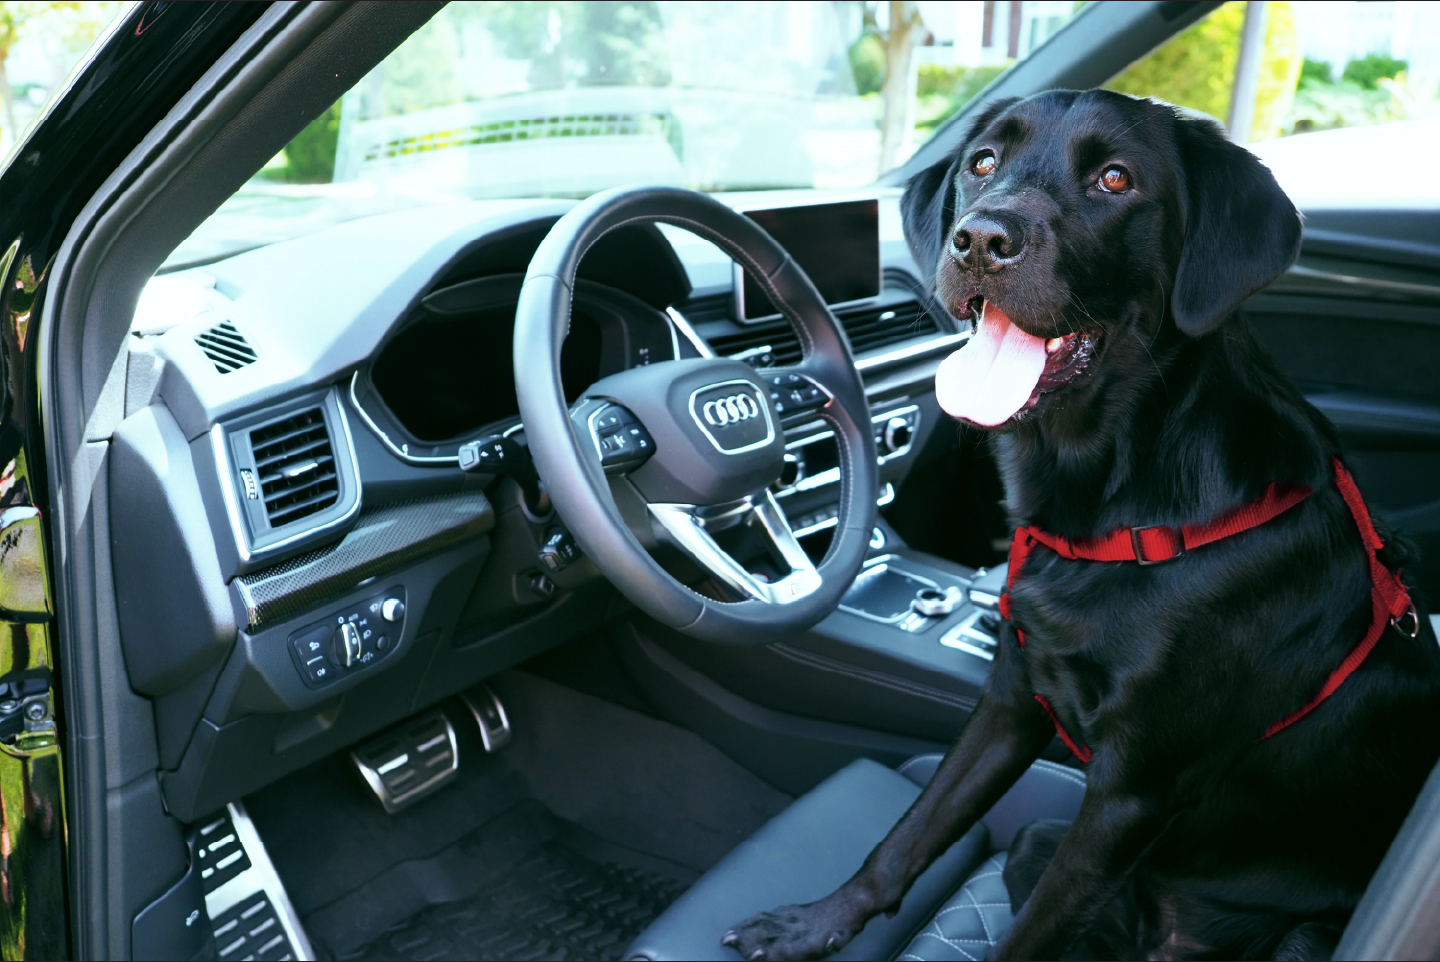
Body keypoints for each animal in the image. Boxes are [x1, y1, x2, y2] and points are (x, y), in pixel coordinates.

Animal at [725, 88, 1440, 956]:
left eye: (1114, 178)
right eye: (983, 163)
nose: (981, 240)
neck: (1114, 493)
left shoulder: (1133, 791)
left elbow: (1028, 934)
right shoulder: (1010, 696)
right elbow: (907, 836)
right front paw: (813, 923)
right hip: (1036, 842)